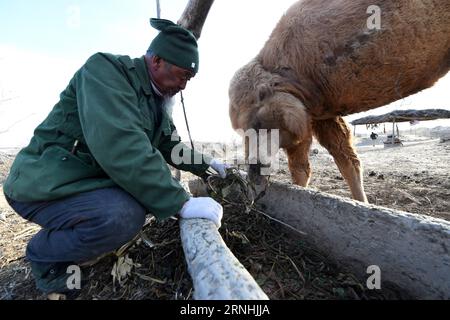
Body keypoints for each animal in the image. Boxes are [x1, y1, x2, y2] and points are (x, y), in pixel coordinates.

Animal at [230, 0, 448, 202]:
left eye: (259, 122)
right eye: (241, 131)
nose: (253, 173)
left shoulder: (302, 114)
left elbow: (303, 167)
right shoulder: (320, 113)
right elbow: (346, 162)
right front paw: (362, 203)